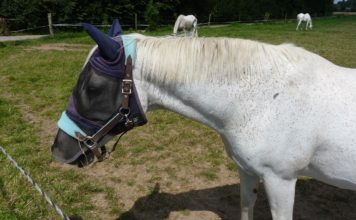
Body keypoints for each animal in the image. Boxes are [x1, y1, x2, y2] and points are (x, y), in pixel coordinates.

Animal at [52, 20, 356, 220]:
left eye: (92, 87)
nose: (58, 150)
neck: (267, 99)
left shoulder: (281, 180)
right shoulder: (248, 172)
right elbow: (246, 207)